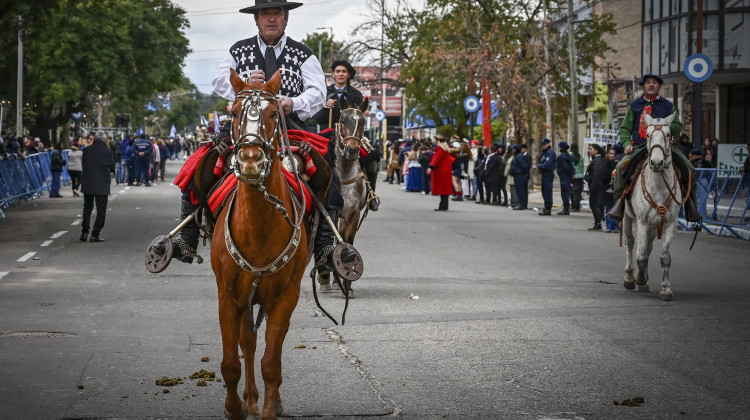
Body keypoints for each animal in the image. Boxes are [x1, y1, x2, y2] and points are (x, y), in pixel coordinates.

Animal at [213, 69, 310, 420]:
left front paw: (270, 408)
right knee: (248, 341)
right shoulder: (228, 297)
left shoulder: (284, 297)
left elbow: (272, 362)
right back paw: (250, 398)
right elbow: (231, 362)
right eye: (233, 113)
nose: (251, 160)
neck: (258, 230)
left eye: (272, 114)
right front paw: (235, 408)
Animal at [624, 113, 688, 300]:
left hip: (654, 227)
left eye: (668, 134)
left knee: (649, 247)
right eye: (647, 134)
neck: (659, 187)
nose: (657, 162)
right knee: (631, 243)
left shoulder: (669, 224)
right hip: (628, 218)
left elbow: (665, 257)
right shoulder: (642, 222)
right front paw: (639, 278)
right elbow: (641, 256)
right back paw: (630, 278)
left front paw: (665, 289)